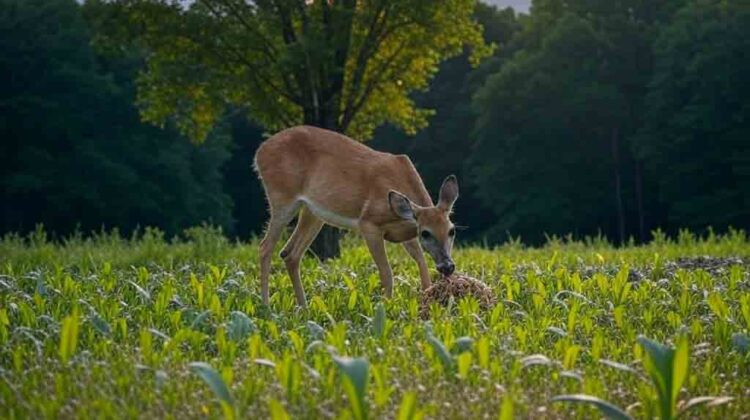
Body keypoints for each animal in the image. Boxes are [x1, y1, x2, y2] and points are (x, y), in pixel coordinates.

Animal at [256, 124, 462, 306]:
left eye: (452, 231)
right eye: (426, 233)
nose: (447, 266)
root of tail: (260, 152)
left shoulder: (406, 231)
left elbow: (421, 263)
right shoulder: (369, 224)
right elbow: (387, 273)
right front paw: (386, 307)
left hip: (312, 212)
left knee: (290, 254)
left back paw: (304, 307)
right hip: (282, 196)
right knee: (265, 247)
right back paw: (266, 307)